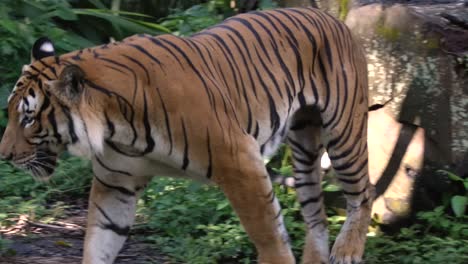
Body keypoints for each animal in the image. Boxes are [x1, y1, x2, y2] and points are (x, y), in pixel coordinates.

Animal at [0, 7, 372, 264]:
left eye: (29, 118)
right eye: (11, 112)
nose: (4, 155)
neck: (114, 126)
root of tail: (332, 17)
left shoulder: (240, 162)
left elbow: (268, 233)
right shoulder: (115, 184)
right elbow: (99, 241)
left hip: (343, 134)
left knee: (363, 192)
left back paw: (348, 250)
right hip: (304, 147)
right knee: (316, 213)